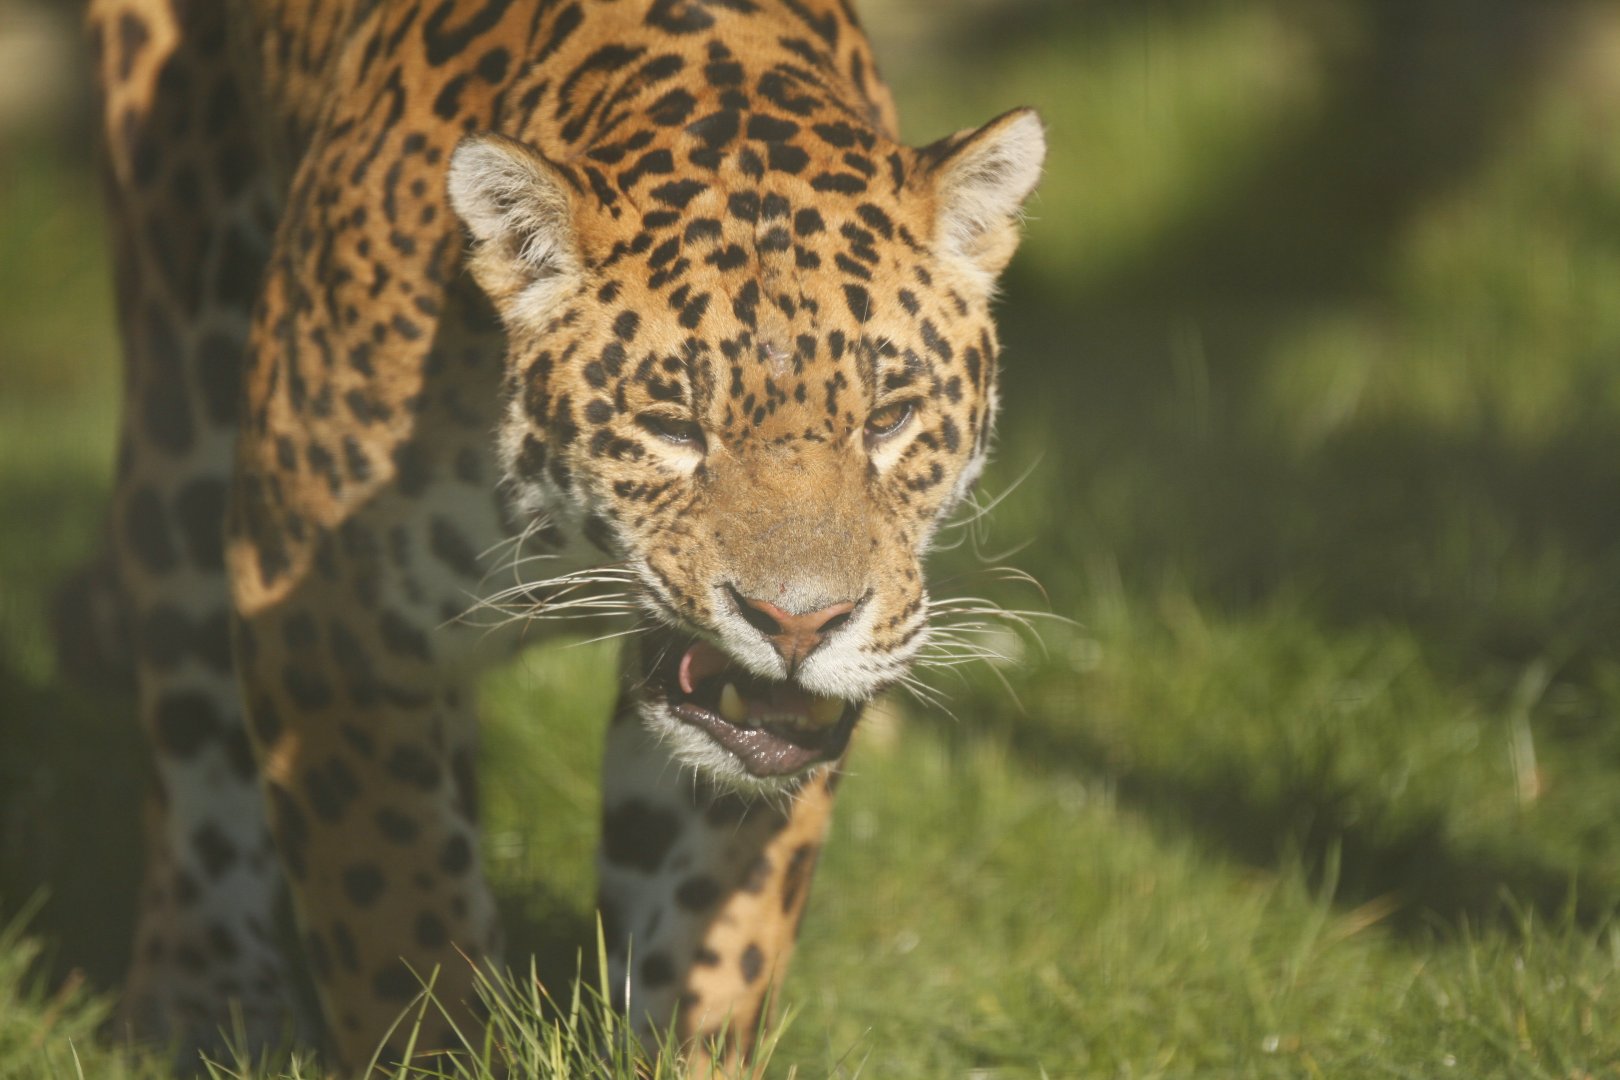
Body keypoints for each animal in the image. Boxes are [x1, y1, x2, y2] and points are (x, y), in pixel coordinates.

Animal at [77, 0, 1043, 1069]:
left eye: (890, 419)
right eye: (672, 426)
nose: (798, 625)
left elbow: (708, 941)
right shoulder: (332, 622)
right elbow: (397, 927)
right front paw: (441, 1050)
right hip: (183, 393)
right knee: (193, 733)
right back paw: (202, 998)